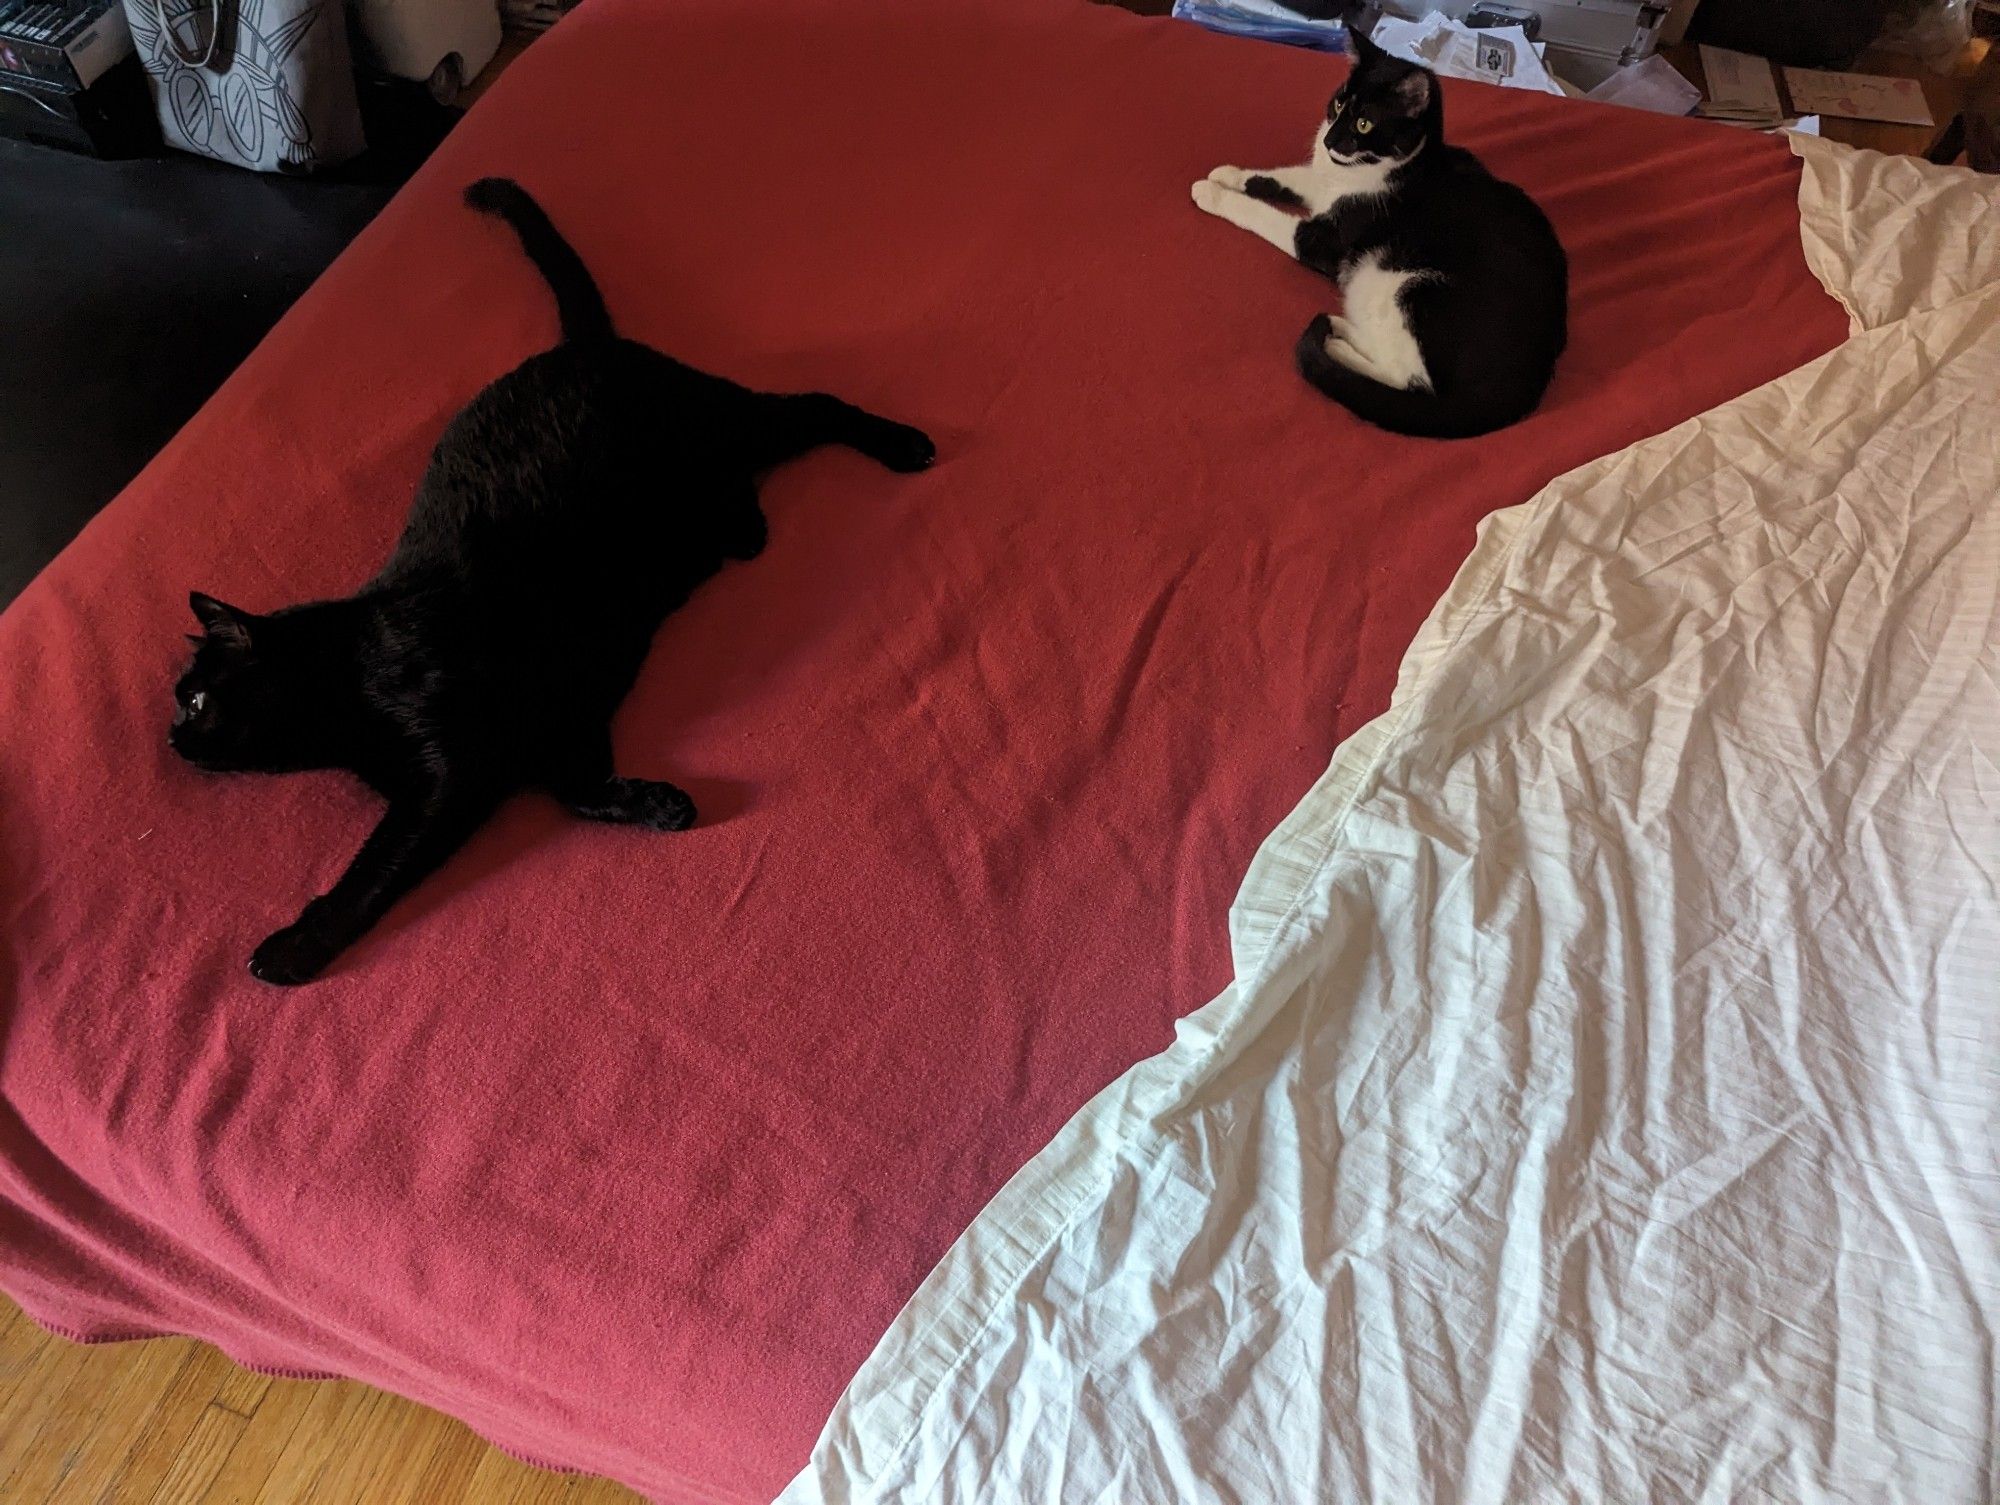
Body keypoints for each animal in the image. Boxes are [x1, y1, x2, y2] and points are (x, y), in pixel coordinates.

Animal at [168, 176, 932, 988]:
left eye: (197, 698)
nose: (170, 735)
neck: (355, 670)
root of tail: (581, 344)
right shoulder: (562, 710)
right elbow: (577, 789)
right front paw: (658, 804)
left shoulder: (451, 775)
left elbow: (371, 874)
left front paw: (293, 947)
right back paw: (744, 528)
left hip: (725, 422)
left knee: (816, 403)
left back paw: (904, 444)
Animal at [1184, 26, 1560, 438]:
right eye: (1337, 106)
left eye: (1364, 124)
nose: (1329, 140)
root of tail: (1527, 383)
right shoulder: (1324, 185)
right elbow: (1288, 177)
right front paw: (1229, 174)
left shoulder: (1324, 239)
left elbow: (1265, 215)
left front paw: (1213, 193)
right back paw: (1338, 329)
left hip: (1397, 282)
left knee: (1411, 380)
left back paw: (1335, 344)